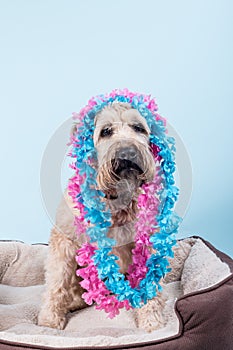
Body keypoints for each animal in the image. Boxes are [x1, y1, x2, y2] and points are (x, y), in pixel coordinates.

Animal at [37, 102, 192, 330]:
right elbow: (57, 281)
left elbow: (151, 287)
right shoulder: (63, 241)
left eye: (139, 128)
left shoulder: (147, 244)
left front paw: (151, 321)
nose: (127, 152)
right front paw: (48, 321)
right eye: (106, 131)